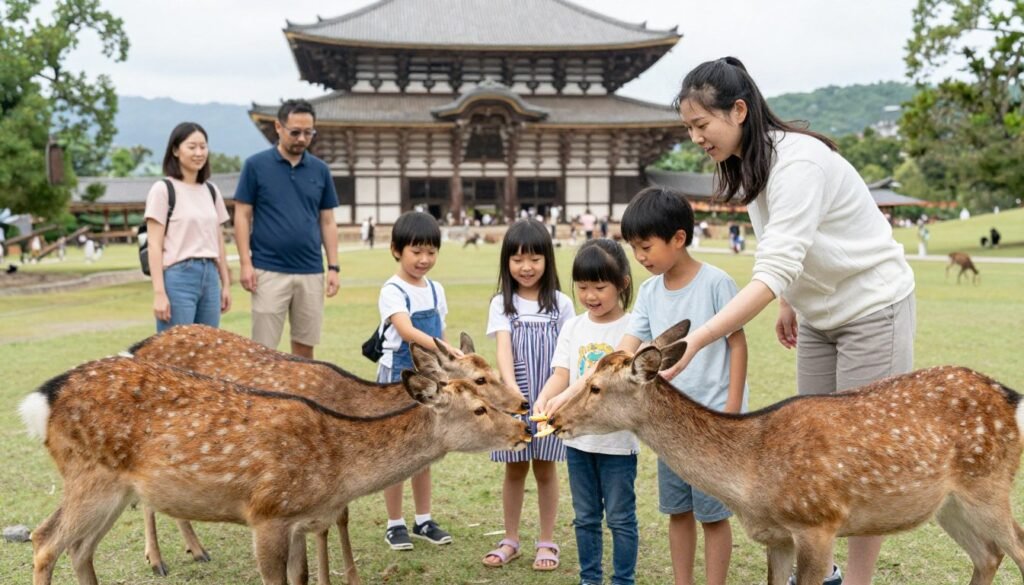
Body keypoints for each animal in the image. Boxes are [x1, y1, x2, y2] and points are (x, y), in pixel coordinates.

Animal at [20, 356, 531, 585]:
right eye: (480, 405)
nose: (524, 426)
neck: (337, 471)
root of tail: (43, 401)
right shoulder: (266, 514)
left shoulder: (300, 521)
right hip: (90, 478)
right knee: (45, 540)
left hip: (115, 491)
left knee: (79, 549)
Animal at [545, 320, 1024, 585]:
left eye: (595, 387)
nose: (554, 416)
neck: (751, 476)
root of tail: (1008, 396)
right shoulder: (776, 537)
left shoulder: (818, 523)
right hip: (950, 505)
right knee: (989, 555)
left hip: (989, 484)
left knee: (1015, 546)